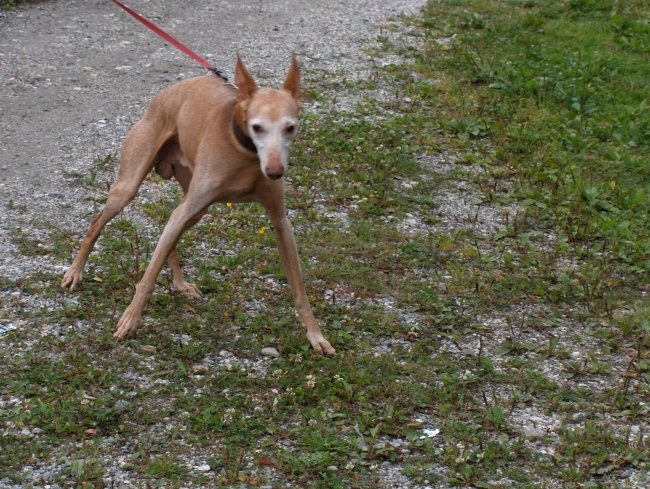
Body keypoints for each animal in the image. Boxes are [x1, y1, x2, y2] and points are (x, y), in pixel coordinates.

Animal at [60, 57, 334, 354]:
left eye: (290, 127)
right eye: (257, 127)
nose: (274, 171)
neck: (243, 151)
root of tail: (163, 96)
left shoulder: (281, 223)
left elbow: (299, 289)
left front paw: (316, 336)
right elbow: (147, 278)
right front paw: (130, 320)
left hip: (195, 207)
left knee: (169, 236)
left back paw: (180, 284)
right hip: (129, 188)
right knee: (97, 224)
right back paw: (75, 272)